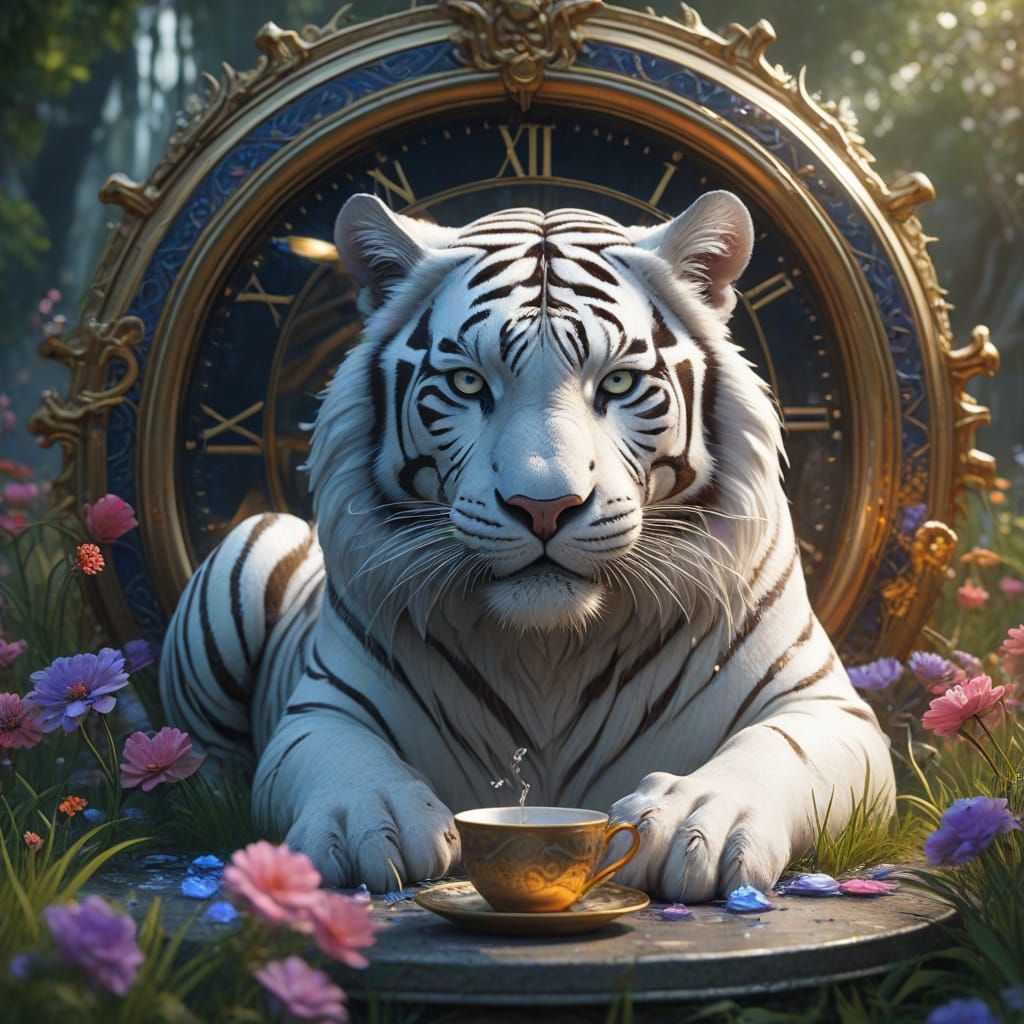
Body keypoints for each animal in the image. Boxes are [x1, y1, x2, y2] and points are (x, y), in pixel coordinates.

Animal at [159, 191, 895, 901]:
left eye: (619, 383)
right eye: (467, 384)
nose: (545, 506)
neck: (550, 652)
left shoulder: (828, 710)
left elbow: (776, 748)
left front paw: (697, 823)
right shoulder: (326, 706)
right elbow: (340, 757)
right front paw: (369, 818)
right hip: (250, 547)